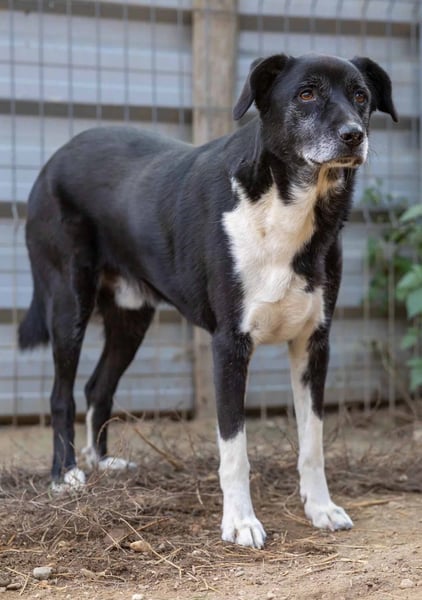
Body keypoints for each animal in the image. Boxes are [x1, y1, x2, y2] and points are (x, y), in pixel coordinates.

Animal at [18, 53, 397, 548]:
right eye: (306, 93)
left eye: (361, 96)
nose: (354, 134)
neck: (286, 207)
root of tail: (55, 157)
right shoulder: (229, 345)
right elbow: (235, 449)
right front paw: (240, 522)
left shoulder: (314, 343)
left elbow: (312, 441)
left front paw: (320, 508)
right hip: (68, 303)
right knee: (61, 393)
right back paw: (65, 475)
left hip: (131, 317)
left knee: (97, 386)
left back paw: (102, 463)